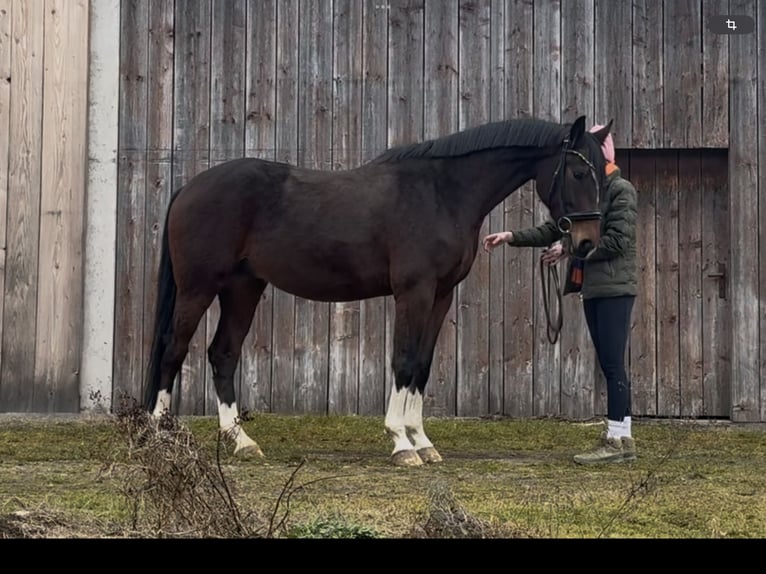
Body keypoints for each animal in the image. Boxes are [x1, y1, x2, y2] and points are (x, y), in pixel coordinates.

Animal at [143, 115, 612, 467]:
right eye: (577, 172)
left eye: (602, 178)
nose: (587, 243)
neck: (441, 193)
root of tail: (189, 187)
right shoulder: (414, 292)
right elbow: (402, 360)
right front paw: (401, 444)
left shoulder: (441, 296)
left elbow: (421, 364)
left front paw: (423, 441)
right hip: (198, 288)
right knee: (173, 349)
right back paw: (161, 436)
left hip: (244, 288)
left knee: (223, 354)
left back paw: (241, 441)